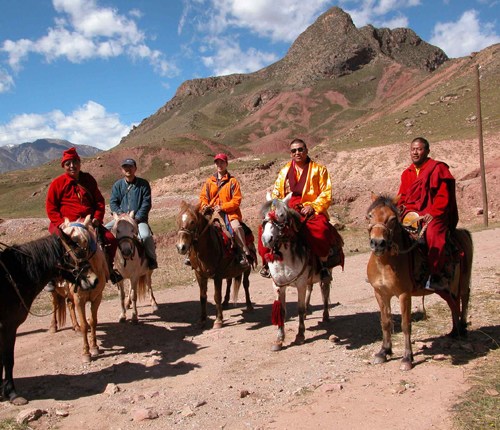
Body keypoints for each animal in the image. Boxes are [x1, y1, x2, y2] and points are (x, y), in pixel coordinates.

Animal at [176, 202, 254, 330]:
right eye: (177, 221)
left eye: (192, 221)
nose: (181, 247)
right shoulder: (199, 274)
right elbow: (202, 297)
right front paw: (202, 320)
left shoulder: (217, 275)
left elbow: (217, 296)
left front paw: (218, 320)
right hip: (228, 271)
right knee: (229, 282)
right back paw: (226, 303)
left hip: (247, 268)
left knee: (246, 284)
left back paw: (249, 306)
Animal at [260, 195, 338, 352]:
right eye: (264, 216)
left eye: (281, 215)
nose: (266, 239)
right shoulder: (278, 285)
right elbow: (281, 310)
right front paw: (279, 339)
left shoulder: (300, 283)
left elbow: (299, 309)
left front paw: (300, 335)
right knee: (311, 289)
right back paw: (309, 311)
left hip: (325, 275)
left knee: (324, 292)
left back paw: (325, 315)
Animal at [366, 194, 470, 370]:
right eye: (370, 215)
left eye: (392, 219)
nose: (378, 243)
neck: (385, 263)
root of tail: (462, 234)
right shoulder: (380, 293)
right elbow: (385, 322)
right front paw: (384, 351)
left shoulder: (404, 294)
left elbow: (405, 324)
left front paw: (407, 358)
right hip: (445, 289)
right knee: (453, 304)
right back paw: (454, 331)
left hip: (462, 280)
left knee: (464, 297)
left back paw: (461, 328)